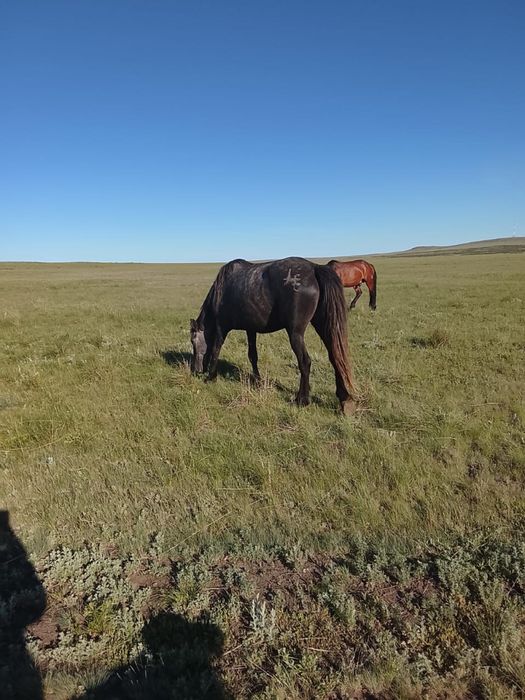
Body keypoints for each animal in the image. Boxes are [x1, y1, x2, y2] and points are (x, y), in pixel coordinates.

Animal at [190, 257, 356, 414]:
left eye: (193, 341)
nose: (195, 370)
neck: (221, 290)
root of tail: (314, 268)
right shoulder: (250, 329)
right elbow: (253, 355)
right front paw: (257, 381)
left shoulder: (221, 327)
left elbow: (215, 349)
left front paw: (211, 377)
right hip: (323, 325)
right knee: (335, 356)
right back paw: (344, 398)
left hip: (295, 333)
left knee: (305, 362)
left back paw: (302, 399)